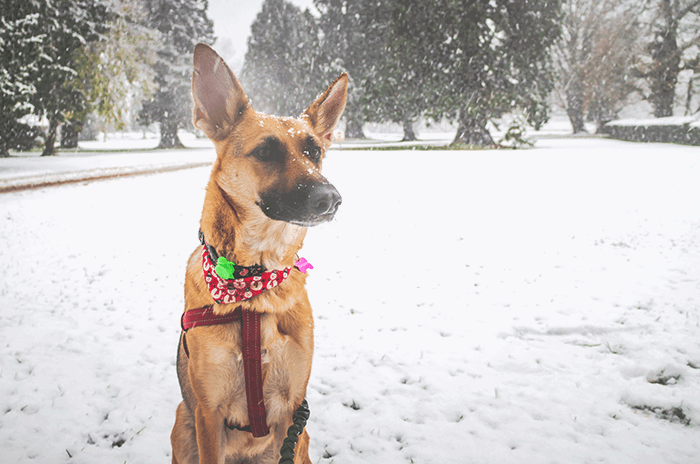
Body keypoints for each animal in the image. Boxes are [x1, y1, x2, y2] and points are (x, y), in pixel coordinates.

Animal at [172, 44, 348, 464]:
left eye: (314, 151)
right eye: (266, 151)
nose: (330, 199)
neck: (254, 285)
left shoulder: (292, 412)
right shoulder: (208, 415)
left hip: (301, 439)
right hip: (182, 426)